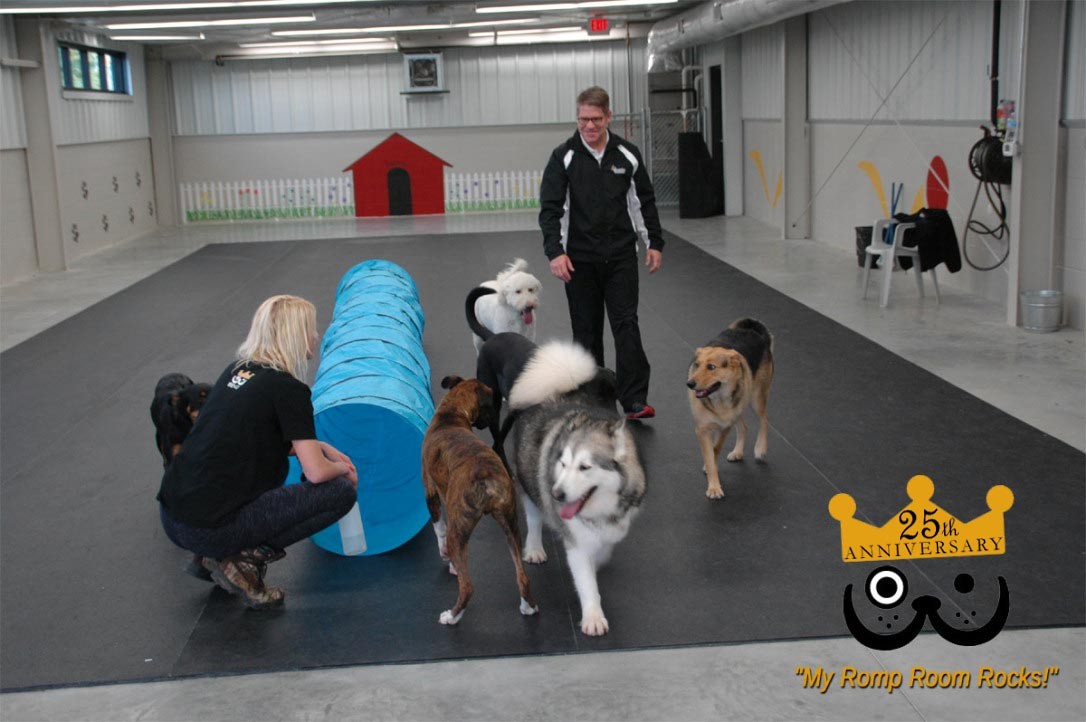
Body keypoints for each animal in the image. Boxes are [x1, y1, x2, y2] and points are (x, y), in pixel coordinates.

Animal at [508, 340, 642, 634]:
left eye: (585, 467)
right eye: (563, 463)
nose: (557, 494)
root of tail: (549, 397)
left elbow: (604, 549)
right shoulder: (577, 542)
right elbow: (586, 579)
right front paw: (593, 617)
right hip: (528, 485)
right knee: (534, 519)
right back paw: (534, 548)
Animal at [686, 319, 773, 499]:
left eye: (711, 367)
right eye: (696, 365)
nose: (689, 384)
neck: (719, 399)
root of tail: (755, 330)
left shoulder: (725, 426)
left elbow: (715, 449)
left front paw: (713, 481)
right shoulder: (703, 429)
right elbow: (710, 454)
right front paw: (713, 484)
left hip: (756, 398)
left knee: (764, 418)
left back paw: (760, 448)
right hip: (740, 405)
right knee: (744, 427)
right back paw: (738, 452)